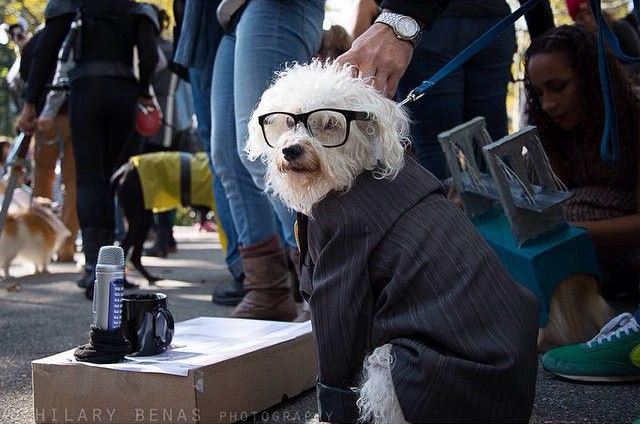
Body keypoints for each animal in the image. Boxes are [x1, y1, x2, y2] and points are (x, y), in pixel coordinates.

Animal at [245, 61, 540, 422]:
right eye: (288, 121)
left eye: (329, 123)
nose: (290, 150)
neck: (352, 179)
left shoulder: (339, 279)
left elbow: (333, 360)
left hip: (390, 364)